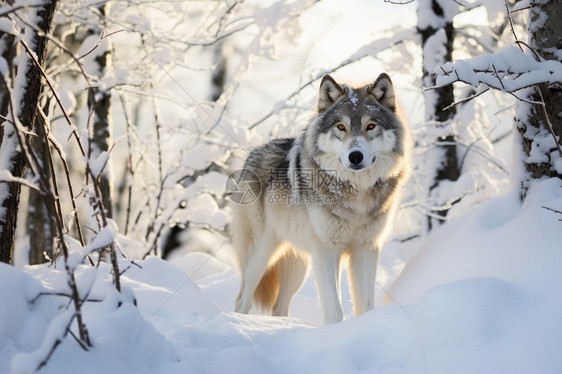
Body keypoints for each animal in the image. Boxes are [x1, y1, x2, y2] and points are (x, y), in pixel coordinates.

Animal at [230, 73, 410, 324]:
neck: (355, 193)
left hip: (299, 266)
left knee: (279, 307)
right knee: (242, 299)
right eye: (341, 127)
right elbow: (335, 310)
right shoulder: (326, 250)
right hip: (261, 255)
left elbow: (365, 306)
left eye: (371, 126)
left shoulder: (366, 248)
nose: (355, 156)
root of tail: (253, 153)